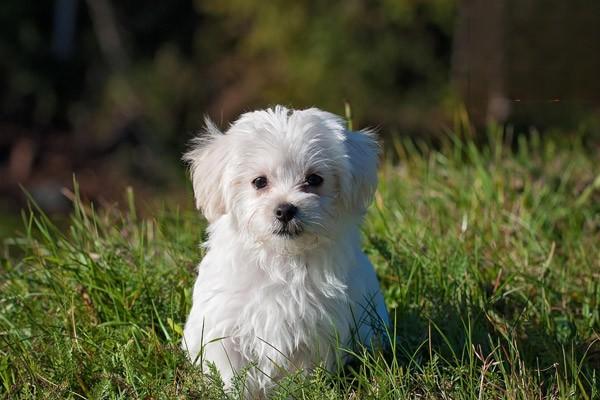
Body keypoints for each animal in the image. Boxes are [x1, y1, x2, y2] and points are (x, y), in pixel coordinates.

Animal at [183, 106, 390, 396]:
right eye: (259, 182)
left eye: (314, 179)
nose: (285, 209)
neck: (281, 259)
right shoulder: (224, 327)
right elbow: (231, 372)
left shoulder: (315, 331)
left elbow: (303, 373)